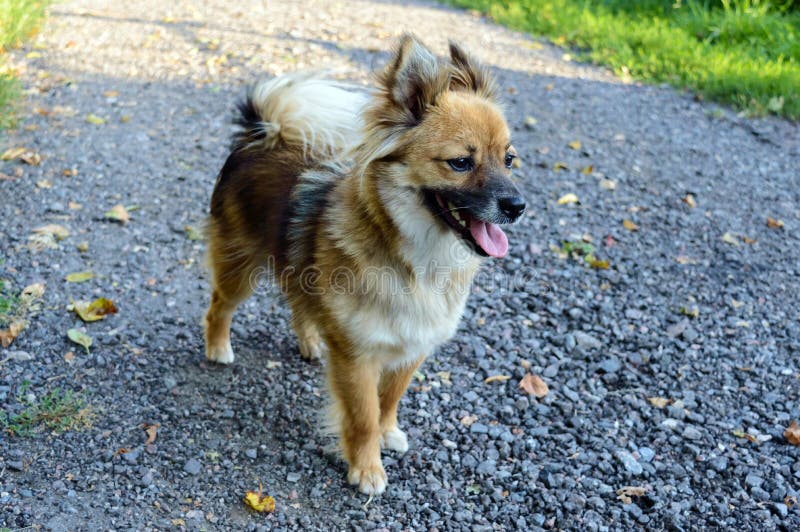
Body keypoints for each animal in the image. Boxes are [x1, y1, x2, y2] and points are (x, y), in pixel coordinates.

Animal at [205, 34, 524, 494]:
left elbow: (388, 400)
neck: (419, 261)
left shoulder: (413, 347)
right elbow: (363, 416)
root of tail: (259, 135)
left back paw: (311, 340)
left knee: (299, 304)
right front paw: (367, 468)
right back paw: (217, 347)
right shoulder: (357, 358)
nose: (518, 206)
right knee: (219, 306)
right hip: (239, 268)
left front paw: (389, 433)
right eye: (461, 163)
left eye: (509, 159)